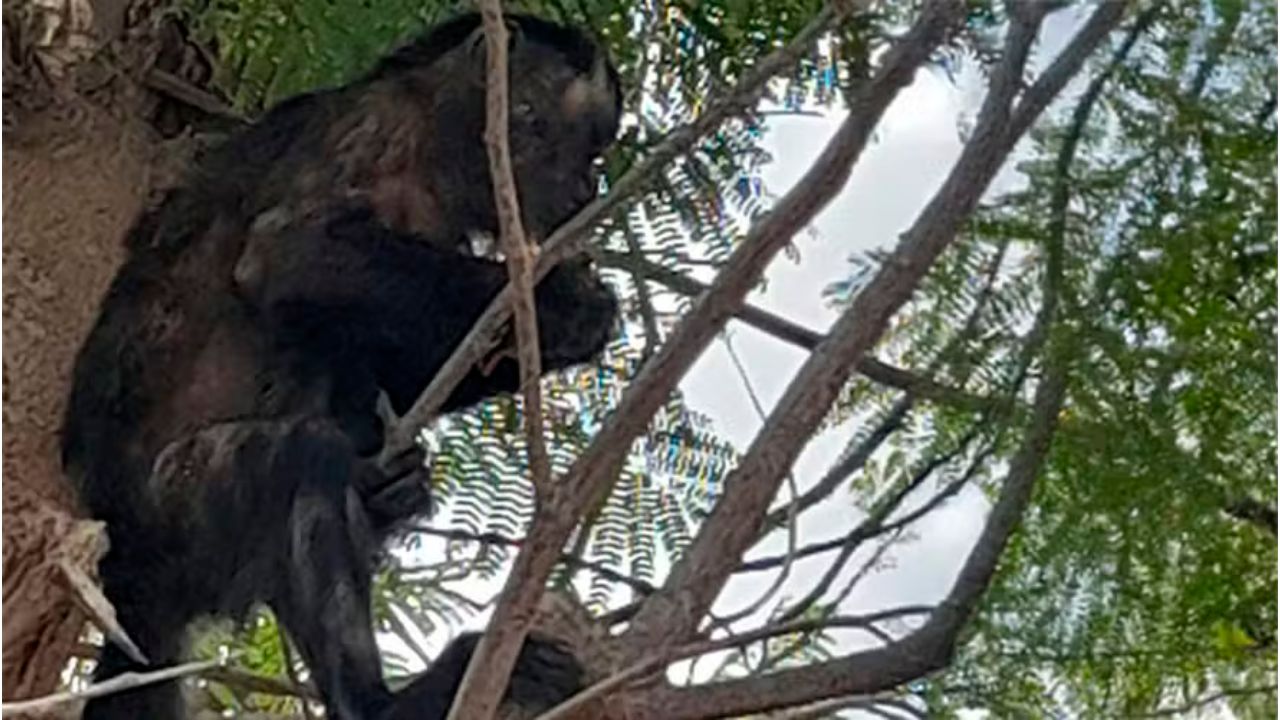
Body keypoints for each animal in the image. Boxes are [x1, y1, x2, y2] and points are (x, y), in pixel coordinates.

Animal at [61, 12, 620, 720]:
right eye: (574, 143)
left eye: (595, 155)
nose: (588, 185)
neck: (436, 148)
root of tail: (127, 575)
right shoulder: (376, 128)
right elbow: (288, 254)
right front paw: (563, 304)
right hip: (165, 513)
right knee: (298, 458)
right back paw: (384, 701)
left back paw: (388, 492)